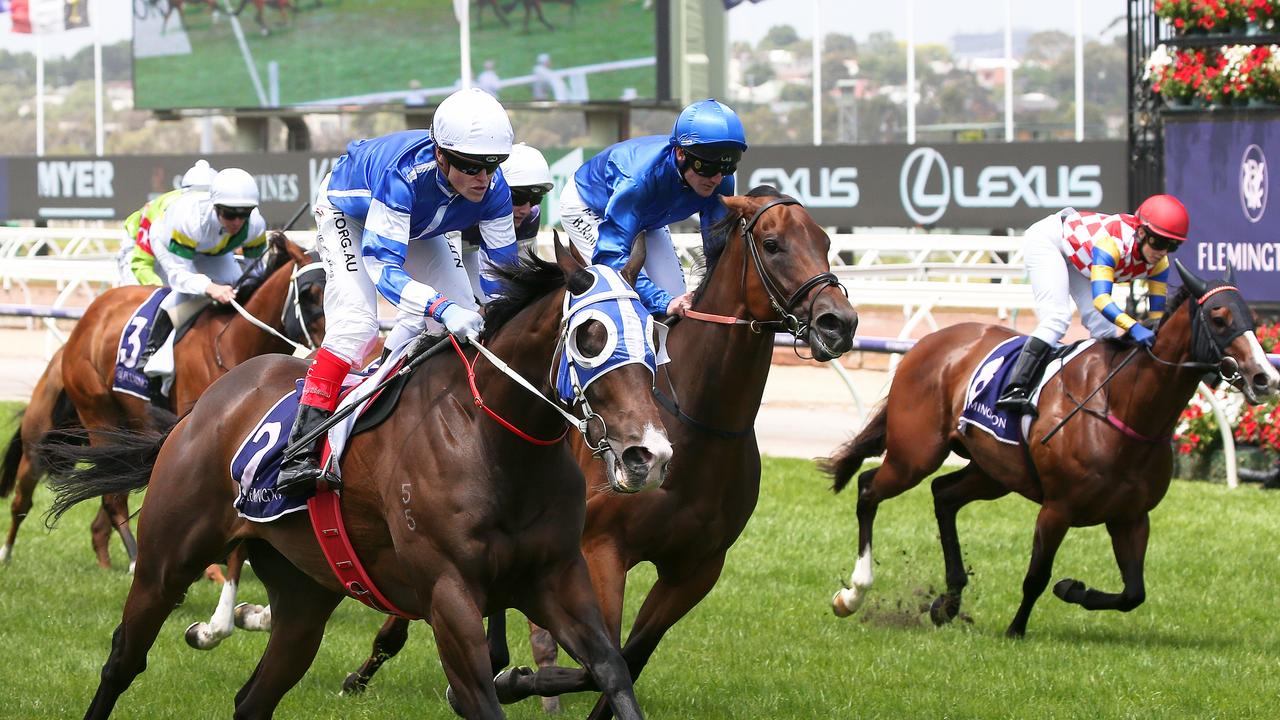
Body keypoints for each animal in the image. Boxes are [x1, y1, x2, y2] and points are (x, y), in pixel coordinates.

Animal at [45, 239, 675, 717]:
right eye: (590, 334)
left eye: (654, 332)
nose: (649, 454)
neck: (494, 444)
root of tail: (207, 406)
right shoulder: (449, 597)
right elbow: (480, 691)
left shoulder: (555, 578)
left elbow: (613, 669)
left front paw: (524, 680)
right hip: (167, 560)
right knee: (124, 658)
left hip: (305, 594)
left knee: (253, 697)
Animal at [340, 184, 860, 712]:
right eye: (773, 245)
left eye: (825, 241)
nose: (839, 322)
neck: (701, 423)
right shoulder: (601, 548)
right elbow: (599, 657)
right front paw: (512, 682)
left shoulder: (697, 569)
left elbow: (628, 657)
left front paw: (520, 681)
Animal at [819, 260, 1280, 635]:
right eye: (1218, 317)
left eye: (1254, 317)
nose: (1264, 378)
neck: (1124, 407)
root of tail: (929, 344)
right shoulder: (1058, 508)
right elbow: (1036, 577)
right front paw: (1016, 630)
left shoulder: (1131, 516)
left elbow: (1134, 593)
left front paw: (1073, 589)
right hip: (915, 455)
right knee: (869, 488)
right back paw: (853, 594)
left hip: (993, 472)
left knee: (944, 496)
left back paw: (948, 602)